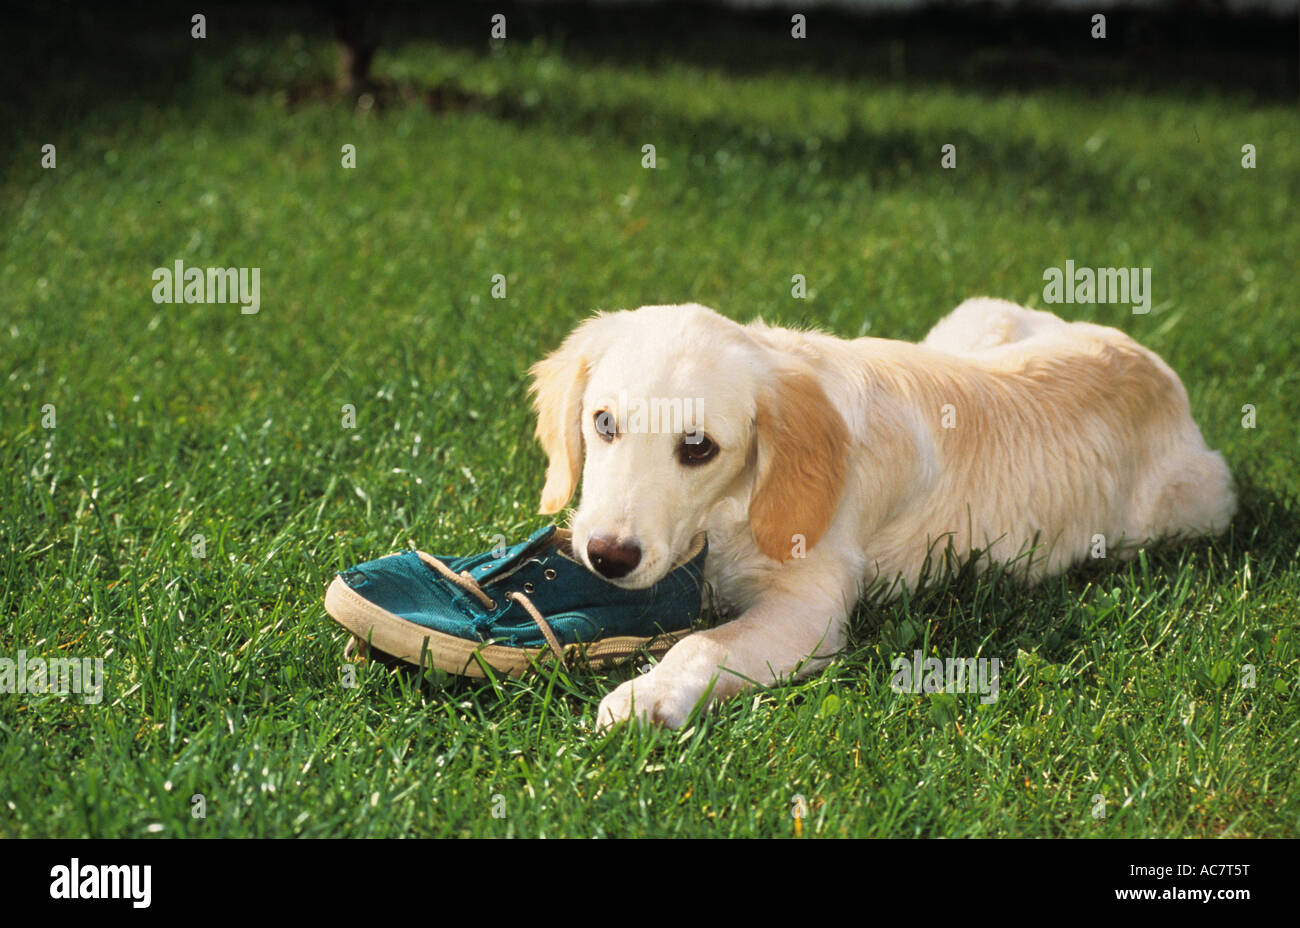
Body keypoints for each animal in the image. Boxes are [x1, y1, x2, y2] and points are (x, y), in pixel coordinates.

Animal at [525, 300, 1227, 727]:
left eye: (698, 448)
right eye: (603, 423)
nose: (608, 558)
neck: (730, 514)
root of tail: (1148, 358)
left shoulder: (809, 611)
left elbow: (701, 644)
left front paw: (648, 694)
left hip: (1196, 507)